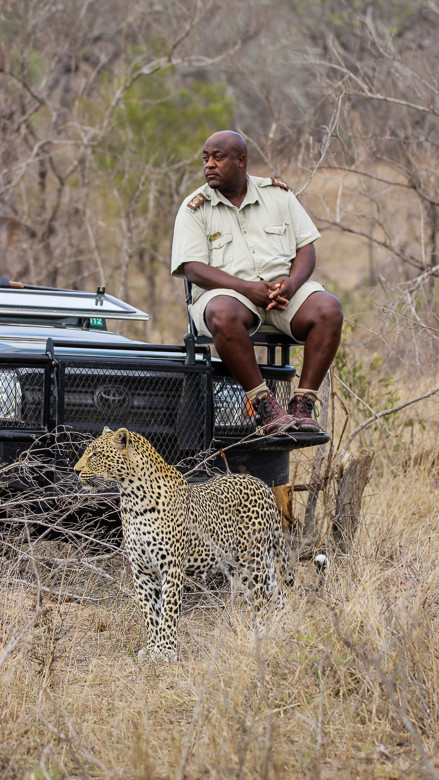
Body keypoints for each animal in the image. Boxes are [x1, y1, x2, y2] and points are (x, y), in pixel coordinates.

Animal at [74, 426, 295, 662]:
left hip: (252, 563)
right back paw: (282, 629)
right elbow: (150, 612)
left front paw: (165, 651)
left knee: (262, 601)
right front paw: (152, 649)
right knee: (278, 594)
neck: (132, 497)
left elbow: (169, 610)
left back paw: (262, 636)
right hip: (257, 561)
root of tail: (262, 485)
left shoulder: (171, 567)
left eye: (95, 455)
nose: (76, 471)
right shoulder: (142, 570)